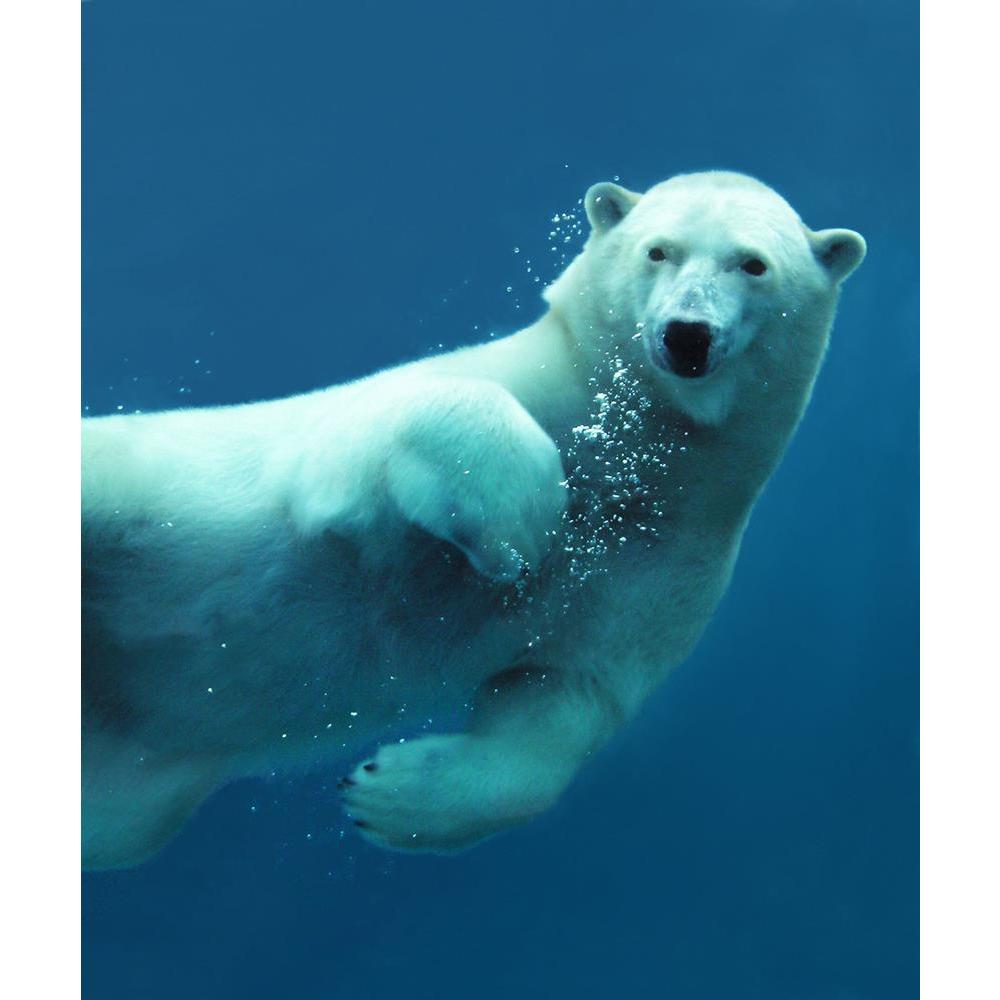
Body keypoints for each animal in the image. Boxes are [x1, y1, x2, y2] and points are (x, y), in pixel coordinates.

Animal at [82, 171, 865, 868]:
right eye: (658, 250)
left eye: (753, 263)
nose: (687, 334)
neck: (636, 449)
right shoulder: (409, 417)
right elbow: (384, 438)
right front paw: (524, 523)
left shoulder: (672, 556)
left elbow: (564, 699)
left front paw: (387, 796)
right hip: (130, 490)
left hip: (135, 788)